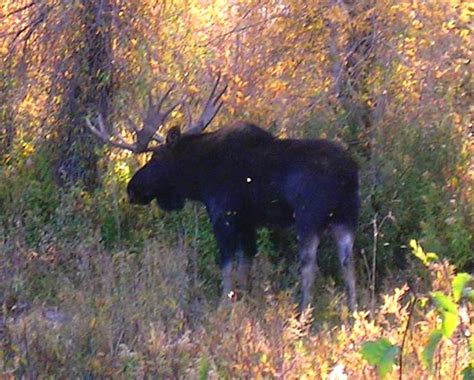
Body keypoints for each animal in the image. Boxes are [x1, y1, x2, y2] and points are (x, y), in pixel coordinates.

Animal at [86, 75, 360, 312]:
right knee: (347, 261)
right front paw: (246, 301)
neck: (200, 179)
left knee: (309, 265)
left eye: (157, 158)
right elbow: (245, 265)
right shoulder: (248, 222)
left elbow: (227, 266)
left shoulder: (223, 215)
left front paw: (225, 306)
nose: (133, 188)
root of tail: (347, 173)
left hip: (308, 218)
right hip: (346, 217)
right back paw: (354, 311)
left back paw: (304, 311)